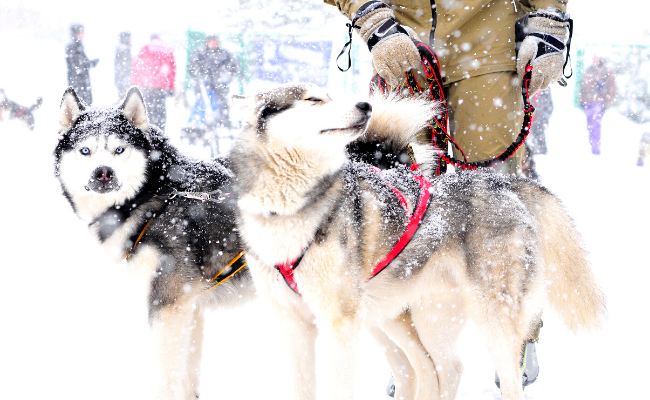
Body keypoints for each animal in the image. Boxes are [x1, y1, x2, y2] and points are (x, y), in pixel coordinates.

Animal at [53, 86, 253, 398]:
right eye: (85, 151)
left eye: (119, 149)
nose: (103, 172)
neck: (155, 196)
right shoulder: (190, 304)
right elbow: (186, 374)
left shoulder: (167, 303)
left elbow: (162, 376)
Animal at [228, 83, 604, 398]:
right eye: (314, 99)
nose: (365, 105)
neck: (290, 210)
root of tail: (506, 184)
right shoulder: (293, 325)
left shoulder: (340, 326)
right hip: (412, 318)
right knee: (440, 368)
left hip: (489, 316)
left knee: (498, 376)